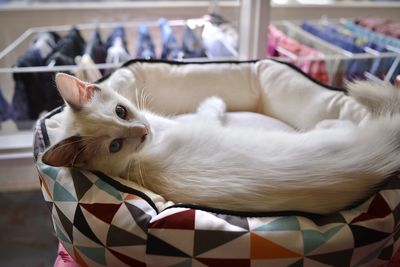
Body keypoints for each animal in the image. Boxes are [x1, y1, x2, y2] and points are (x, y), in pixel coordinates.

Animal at [42, 74, 400, 216]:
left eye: (121, 111)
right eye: (115, 146)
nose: (142, 131)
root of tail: (375, 158)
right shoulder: (199, 123)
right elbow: (211, 110)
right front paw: (215, 100)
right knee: (344, 125)